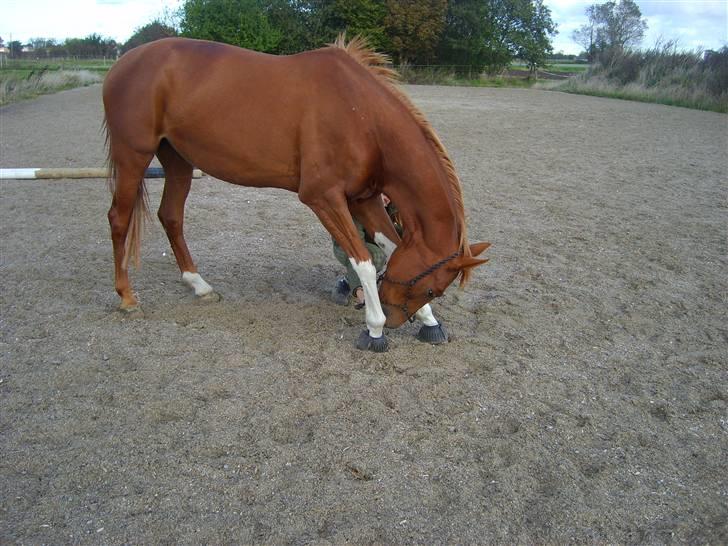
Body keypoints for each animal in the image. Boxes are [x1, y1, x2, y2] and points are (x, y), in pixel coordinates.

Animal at [102, 35, 490, 348]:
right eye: (432, 288)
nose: (396, 319)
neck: (361, 116)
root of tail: (123, 62)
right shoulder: (324, 198)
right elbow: (364, 261)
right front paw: (375, 328)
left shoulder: (363, 199)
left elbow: (390, 248)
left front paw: (428, 321)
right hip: (133, 155)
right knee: (118, 219)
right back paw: (127, 297)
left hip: (178, 160)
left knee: (171, 216)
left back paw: (199, 285)